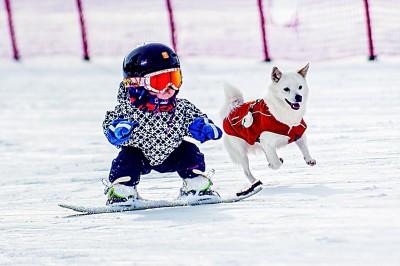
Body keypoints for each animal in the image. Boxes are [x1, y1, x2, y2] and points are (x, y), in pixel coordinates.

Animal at [222, 64, 316, 193]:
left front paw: (309, 159)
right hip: (241, 153)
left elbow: (304, 148)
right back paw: (255, 181)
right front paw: (274, 163)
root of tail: (231, 111)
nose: (299, 97)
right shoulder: (268, 143)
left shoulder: (299, 133)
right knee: (247, 171)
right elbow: (276, 163)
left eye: (300, 87)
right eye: (286, 89)